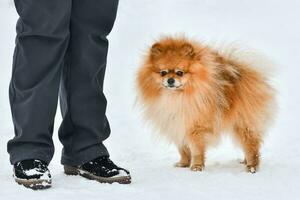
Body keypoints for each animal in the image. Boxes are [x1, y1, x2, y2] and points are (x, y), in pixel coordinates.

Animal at [137, 36, 276, 173]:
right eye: (163, 72)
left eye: (180, 72)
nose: (170, 80)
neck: (177, 97)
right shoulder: (176, 124)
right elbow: (183, 149)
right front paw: (183, 163)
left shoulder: (196, 127)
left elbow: (196, 150)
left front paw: (197, 167)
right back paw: (245, 161)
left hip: (244, 123)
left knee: (251, 145)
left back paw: (252, 166)